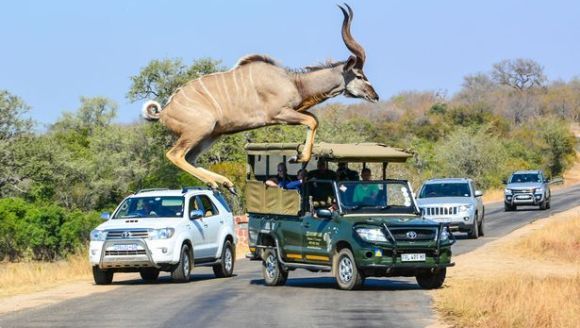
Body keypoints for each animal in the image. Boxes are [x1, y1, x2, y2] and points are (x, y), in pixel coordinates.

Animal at [142, 3, 378, 193]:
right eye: (359, 75)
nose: (374, 96)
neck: (294, 82)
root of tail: (164, 112)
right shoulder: (279, 114)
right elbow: (312, 121)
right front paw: (298, 157)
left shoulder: (294, 111)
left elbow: (314, 119)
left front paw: (298, 155)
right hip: (200, 130)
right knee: (175, 155)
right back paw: (215, 183)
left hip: (211, 135)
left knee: (190, 157)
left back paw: (225, 183)